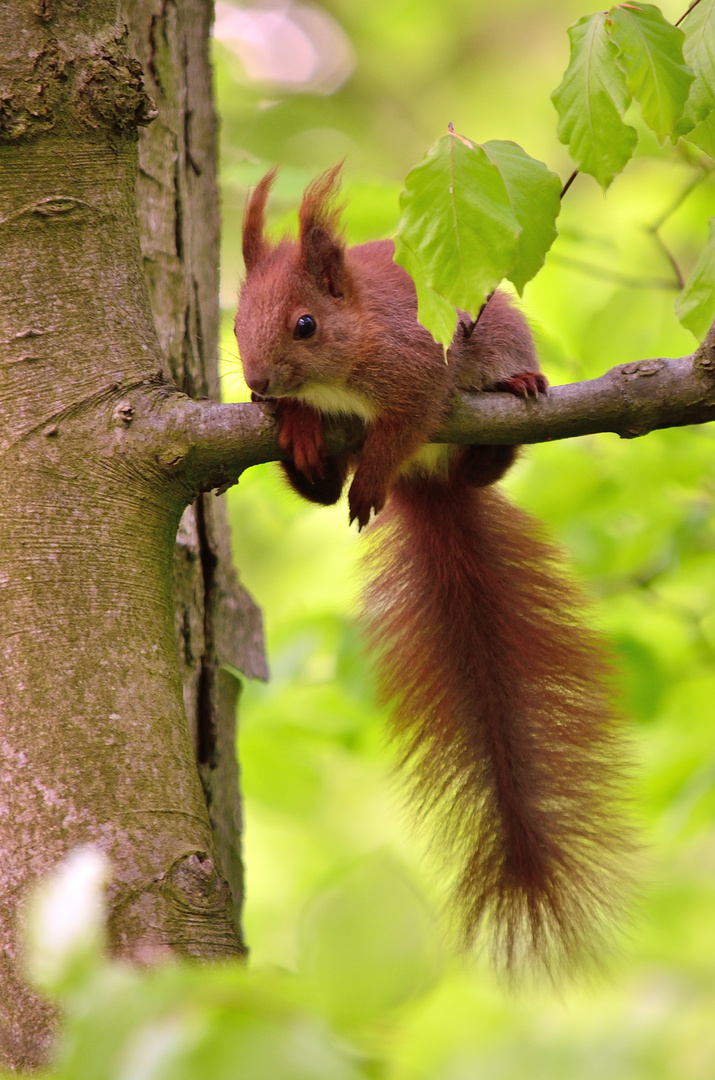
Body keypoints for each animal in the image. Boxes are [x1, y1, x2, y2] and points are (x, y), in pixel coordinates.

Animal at [236, 164, 635, 976]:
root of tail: (432, 484)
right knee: (323, 488)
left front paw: (368, 470)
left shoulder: (416, 365)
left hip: (496, 343)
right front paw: (296, 423)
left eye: (305, 325)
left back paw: (511, 399)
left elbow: (406, 421)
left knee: (483, 459)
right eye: (233, 323)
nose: (258, 382)